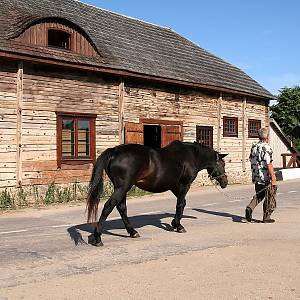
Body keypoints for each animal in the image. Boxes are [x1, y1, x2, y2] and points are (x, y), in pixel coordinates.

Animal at [86, 141, 227, 246]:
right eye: (223, 164)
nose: (225, 182)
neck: (192, 155)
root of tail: (114, 151)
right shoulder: (184, 185)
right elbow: (180, 204)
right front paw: (178, 226)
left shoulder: (174, 186)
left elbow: (182, 203)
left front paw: (174, 223)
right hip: (122, 187)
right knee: (108, 207)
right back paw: (98, 238)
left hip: (121, 188)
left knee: (121, 208)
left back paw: (132, 232)